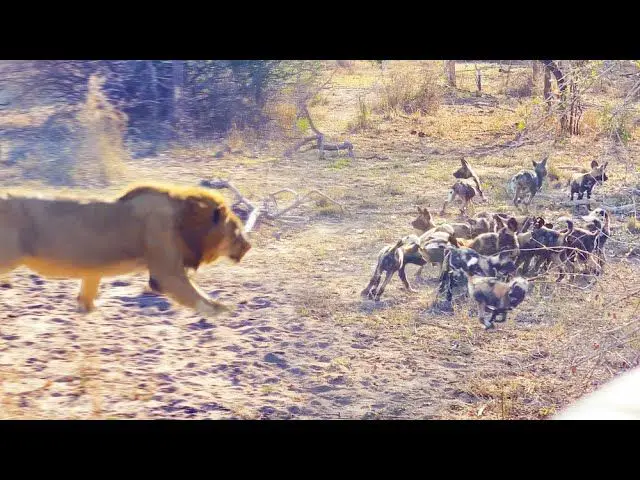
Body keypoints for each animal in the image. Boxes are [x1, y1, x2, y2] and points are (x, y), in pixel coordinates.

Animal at [0, 181, 252, 316]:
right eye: (236, 230)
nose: (249, 246)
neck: (181, 217)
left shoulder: (93, 270)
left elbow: (87, 296)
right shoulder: (167, 274)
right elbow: (202, 299)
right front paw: (226, 312)